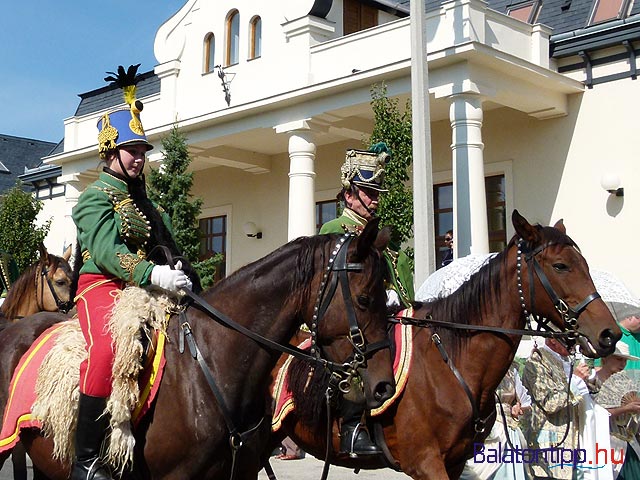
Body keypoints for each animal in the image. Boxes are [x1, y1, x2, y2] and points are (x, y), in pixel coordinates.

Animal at [274, 210, 620, 480]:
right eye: (561, 265)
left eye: (584, 263)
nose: (609, 334)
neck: (451, 362)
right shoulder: (426, 462)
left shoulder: (454, 462)